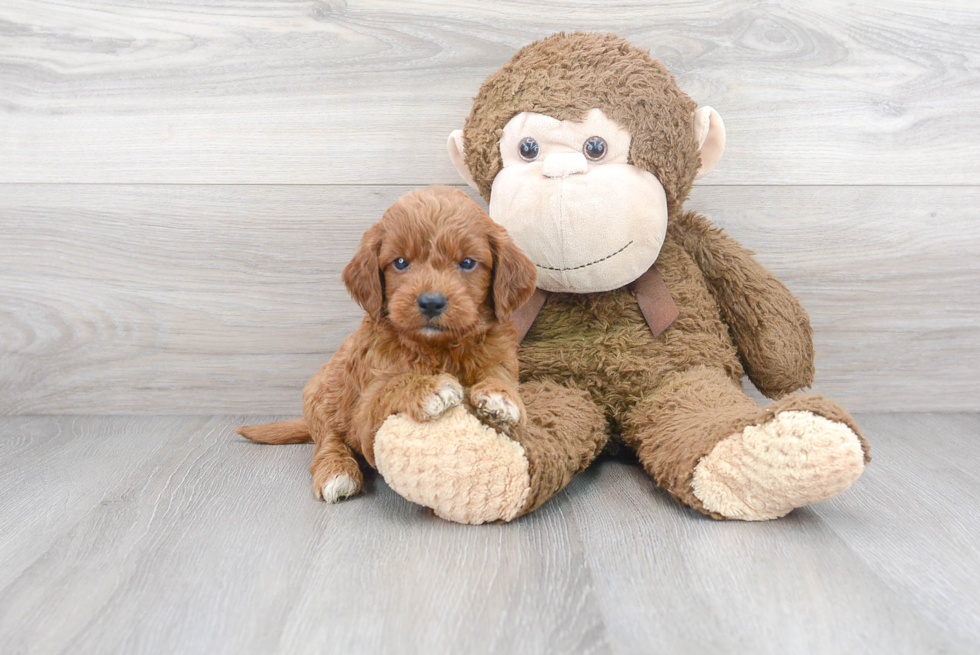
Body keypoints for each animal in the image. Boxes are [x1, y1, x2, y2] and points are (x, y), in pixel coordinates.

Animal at [242, 187, 540, 504]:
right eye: (400, 262)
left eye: (468, 263)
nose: (431, 301)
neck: (439, 348)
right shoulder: (364, 412)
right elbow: (392, 385)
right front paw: (429, 387)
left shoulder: (499, 357)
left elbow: (499, 376)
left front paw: (500, 397)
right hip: (321, 395)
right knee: (327, 440)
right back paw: (336, 472)